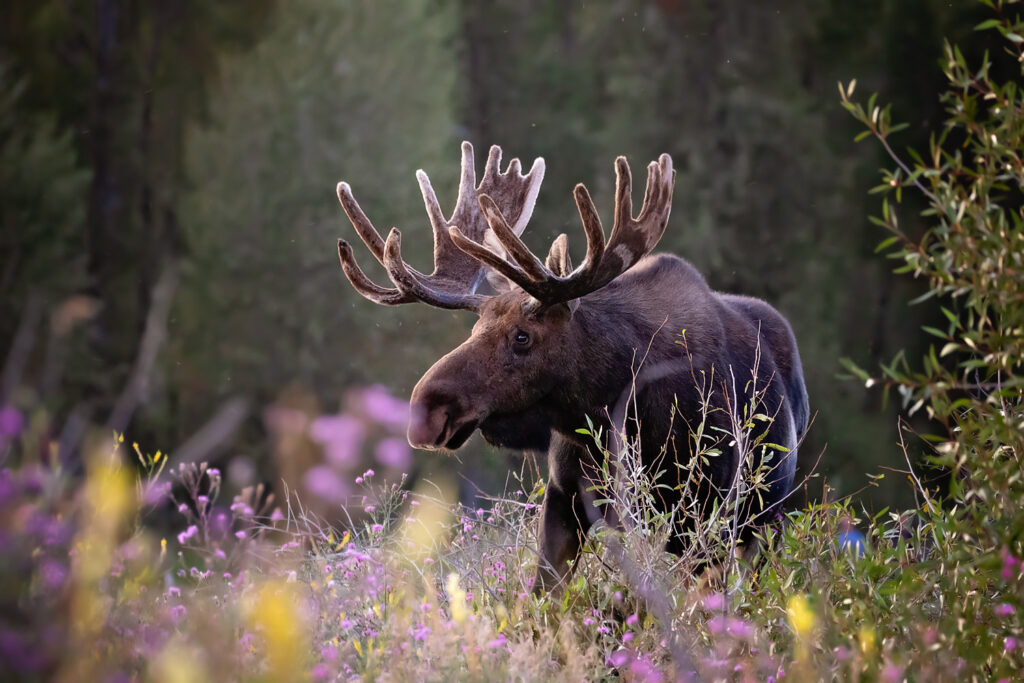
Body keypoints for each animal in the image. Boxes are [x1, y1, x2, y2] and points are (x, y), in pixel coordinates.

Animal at [334, 142, 809, 592]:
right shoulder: (565, 497)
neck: (616, 406)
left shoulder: (709, 513)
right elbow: (544, 597)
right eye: (475, 327)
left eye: (523, 336)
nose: (426, 410)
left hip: (766, 519)